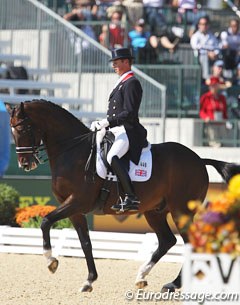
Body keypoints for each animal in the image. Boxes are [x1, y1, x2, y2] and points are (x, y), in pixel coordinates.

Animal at [6, 100, 240, 292]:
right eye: (12, 131)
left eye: (23, 128)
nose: (25, 164)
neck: (73, 152)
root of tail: (199, 159)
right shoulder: (74, 209)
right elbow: (85, 242)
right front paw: (89, 280)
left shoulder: (77, 202)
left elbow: (45, 221)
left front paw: (51, 261)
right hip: (155, 211)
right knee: (167, 240)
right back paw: (142, 276)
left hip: (180, 210)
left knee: (191, 242)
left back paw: (174, 284)